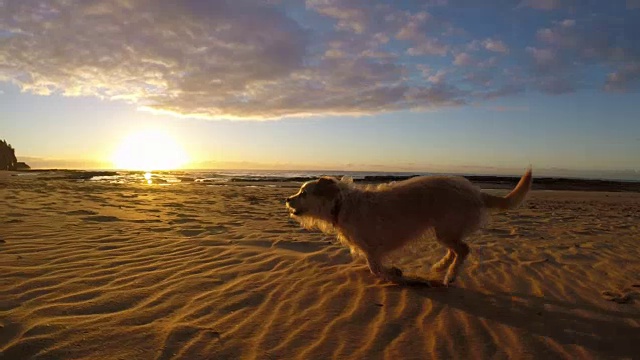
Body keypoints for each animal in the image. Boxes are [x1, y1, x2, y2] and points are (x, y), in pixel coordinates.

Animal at [288, 168, 532, 284]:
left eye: (303, 193)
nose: (287, 200)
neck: (340, 205)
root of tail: (475, 191)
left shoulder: (372, 248)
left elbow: (375, 268)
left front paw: (393, 274)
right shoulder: (371, 249)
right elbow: (375, 267)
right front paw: (393, 272)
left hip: (446, 229)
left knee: (463, 250)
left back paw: (450, 275)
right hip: (445, 231)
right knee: (455, 250)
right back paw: (441, 267)